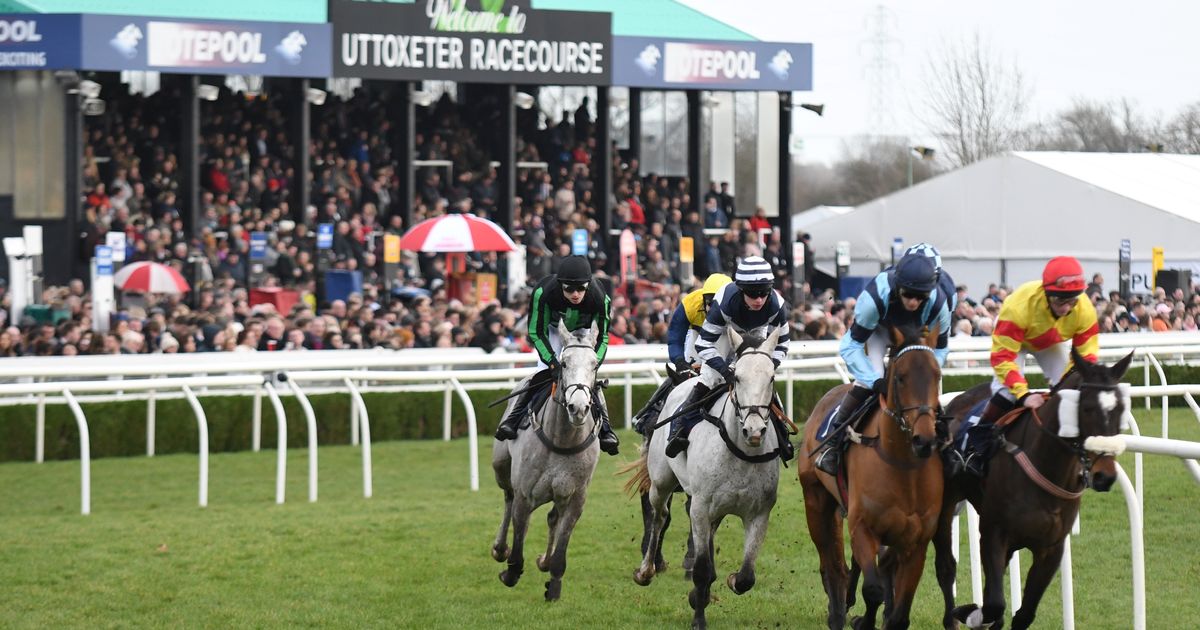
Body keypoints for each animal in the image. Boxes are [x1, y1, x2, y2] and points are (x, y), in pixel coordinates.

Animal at [489, 321, 604, 602]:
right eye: (563, 363)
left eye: (595, 364)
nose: (578, 407)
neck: (562, 439)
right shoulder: (525, 494)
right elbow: (519, 532)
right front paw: (511, 571)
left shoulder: (576, 498)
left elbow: (562, 544)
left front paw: (553, 583)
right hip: (501, 467)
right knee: (507, 499)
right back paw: (500, 548)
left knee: (553, 516)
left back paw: (545, 560)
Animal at [628, 326, 787, 624]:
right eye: (737, 377)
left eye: (771, 377)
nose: (754, 430)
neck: (740, 453)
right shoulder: (700, 507)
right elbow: (701, 568)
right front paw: (698, 617)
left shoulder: (759, 513)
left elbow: (747, 576)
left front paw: (726, 582)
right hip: (661, 481)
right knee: (658, 515)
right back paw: (647, 569)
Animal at [796, 324, 945, 628]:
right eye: (900, 378)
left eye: (937, 376)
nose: (924, 439)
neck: (902, 466)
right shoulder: (863, 528)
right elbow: (873, 588)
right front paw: (860, 619)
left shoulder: (916, 541)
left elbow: (899, 607)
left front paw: (883, 615)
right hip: (816, 501)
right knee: (832, 565)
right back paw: (837, 612)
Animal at [926, 348, 1132, 628]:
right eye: (1087, 408)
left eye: (1121, 409)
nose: (1105, 476)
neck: (1047, 465)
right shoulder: (993, 533)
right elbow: (994, 603)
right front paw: (969, 613)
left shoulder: (1051, 548)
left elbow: (1024, 613)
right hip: (946, 504)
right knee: (946, 567)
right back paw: (952, 616)